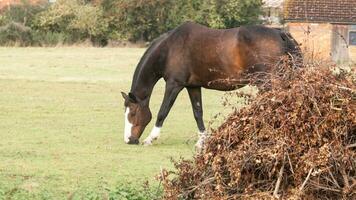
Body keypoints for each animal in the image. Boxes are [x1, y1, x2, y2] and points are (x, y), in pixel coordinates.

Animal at [120, 21, 300, 147]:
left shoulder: (174, 85)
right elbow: (197, 113)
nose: (129, 140)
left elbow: (162, 112)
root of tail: (279, 32)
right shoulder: (193, 86)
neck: (169, 48)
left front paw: (151, 138)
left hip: (267, 83)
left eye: (132, 113)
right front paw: (201, 141)